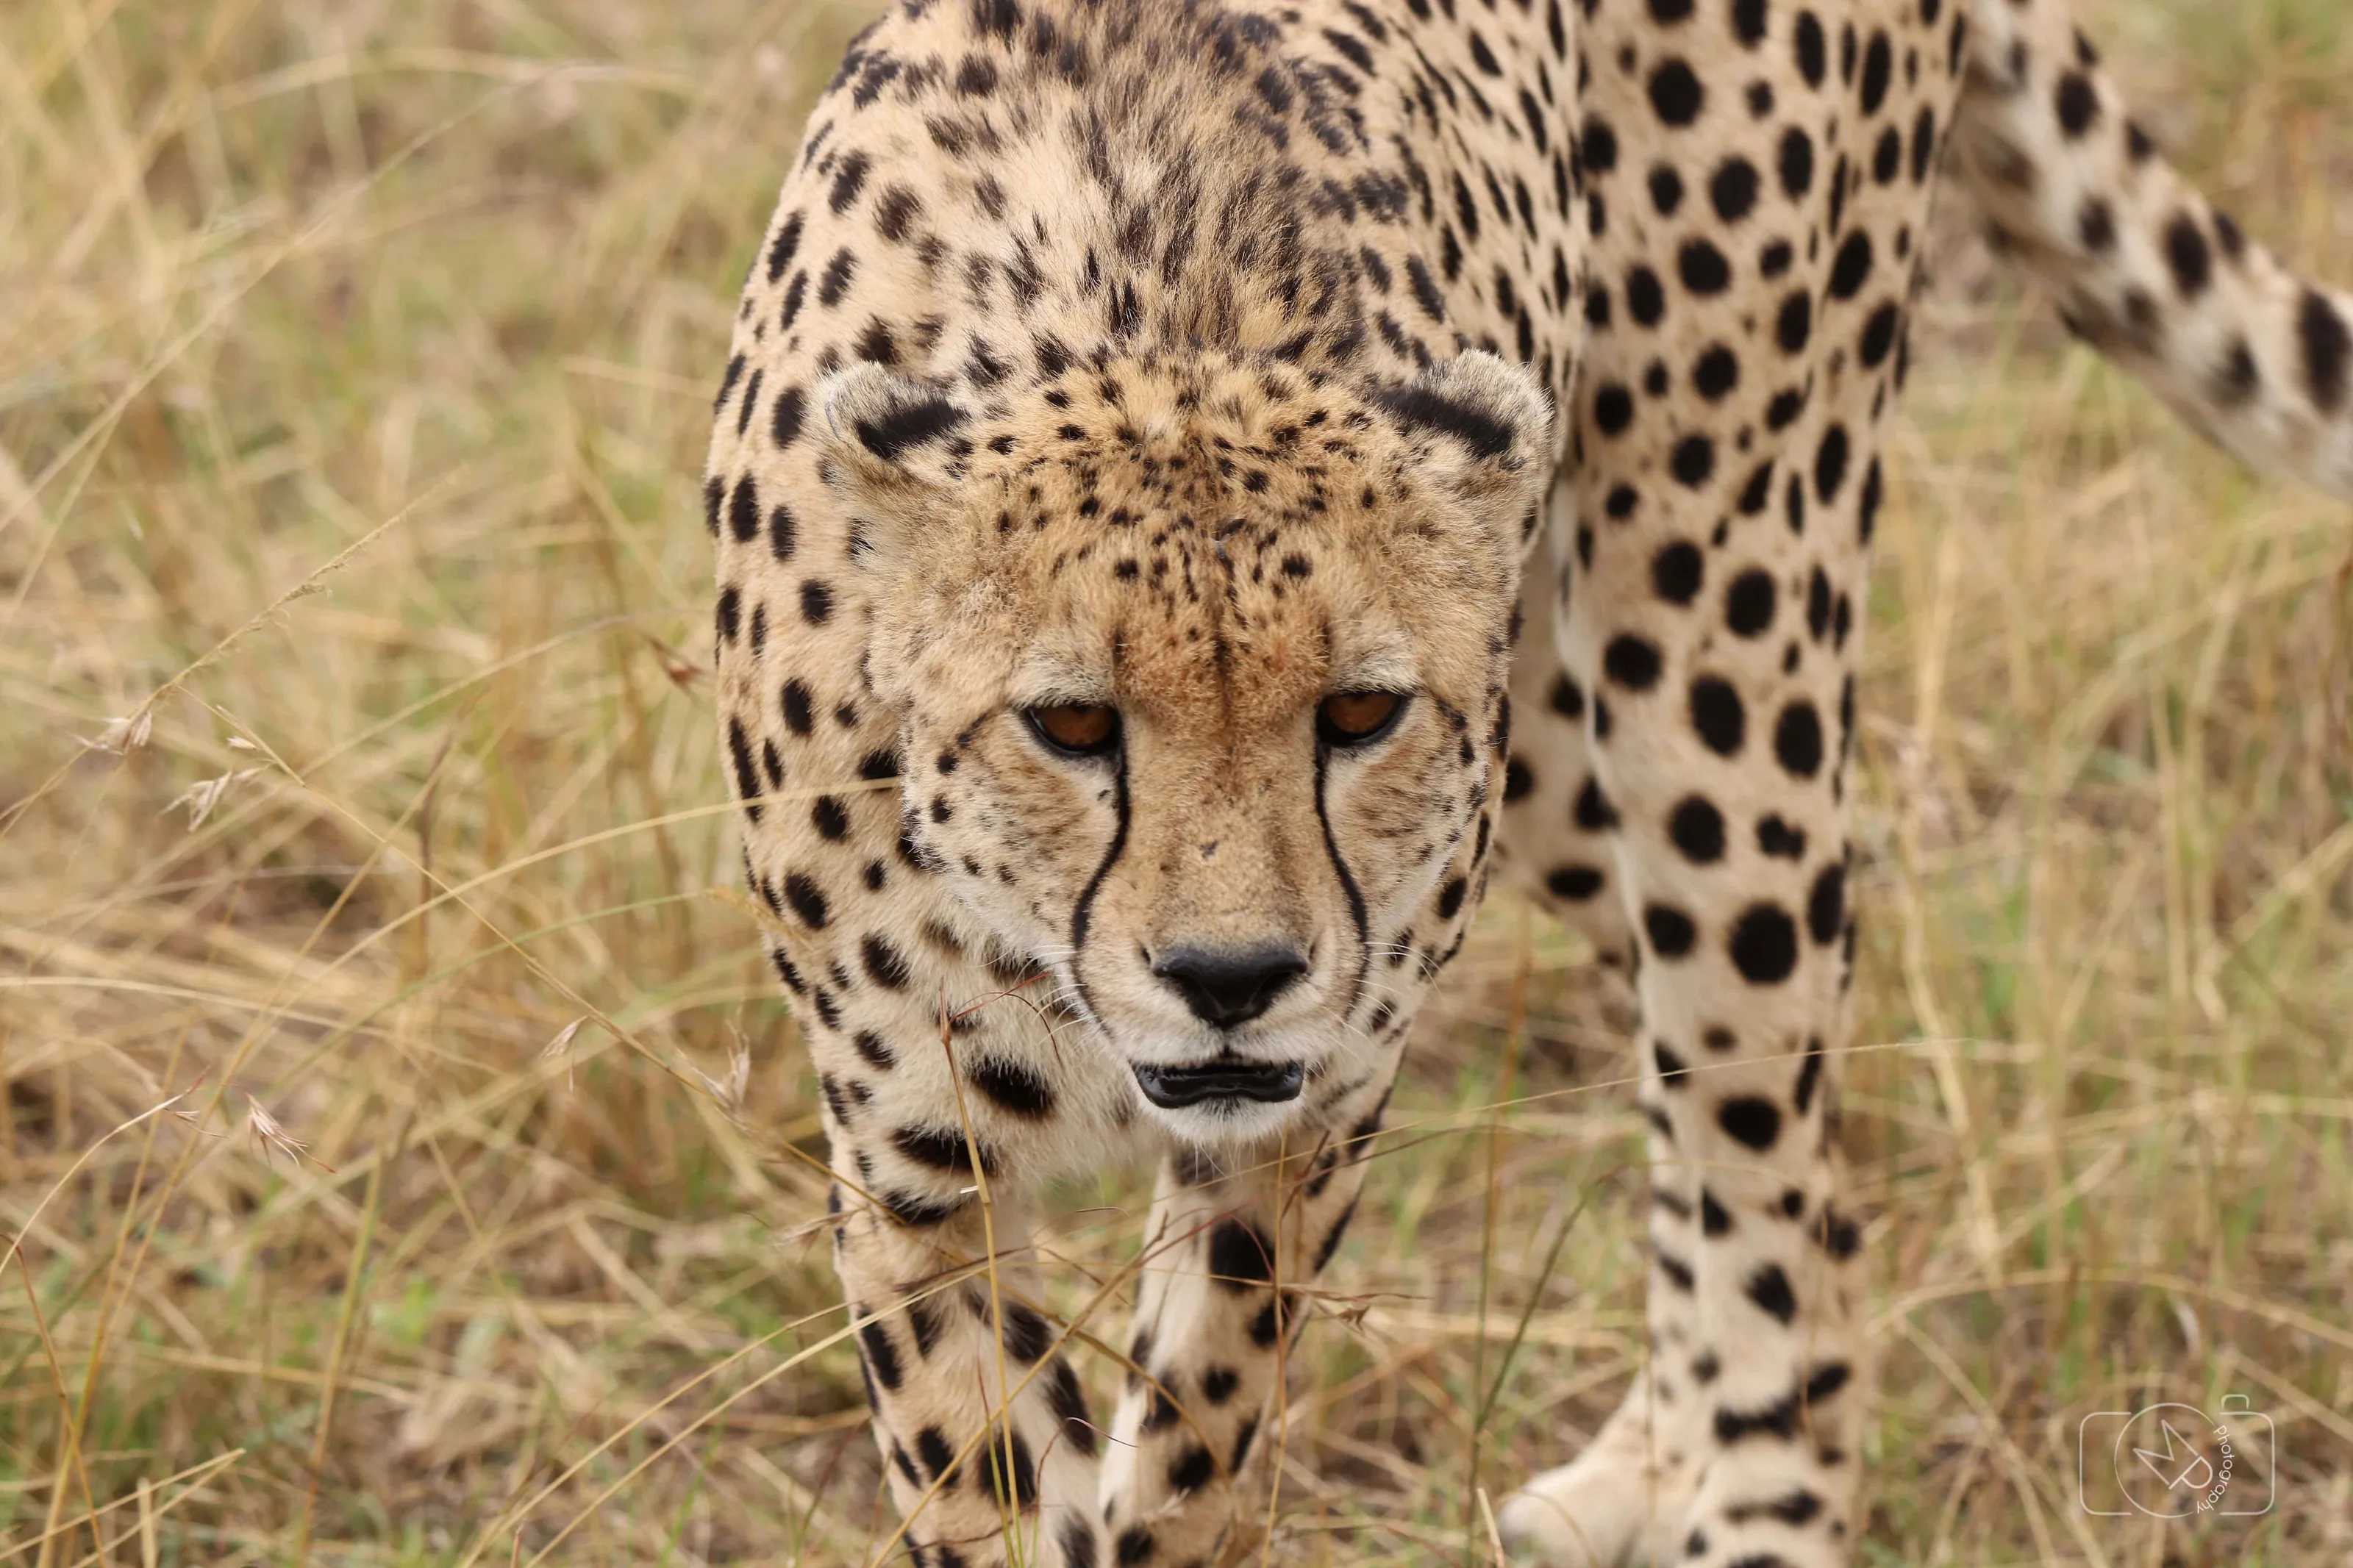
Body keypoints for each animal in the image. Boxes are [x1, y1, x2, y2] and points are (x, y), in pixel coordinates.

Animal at [698, 1, 2353, 1563]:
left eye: (1359, 711)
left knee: (1753, 1089)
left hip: (1717, 643)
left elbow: (1189, 1451)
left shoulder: (1308, 1108)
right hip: (1550, 757)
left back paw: (1759, 1492)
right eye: (1072, 725)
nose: (1231, 976)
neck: (1164, 294)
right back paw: (1655, 1458)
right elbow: (980, 1472)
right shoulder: (913, 1171)